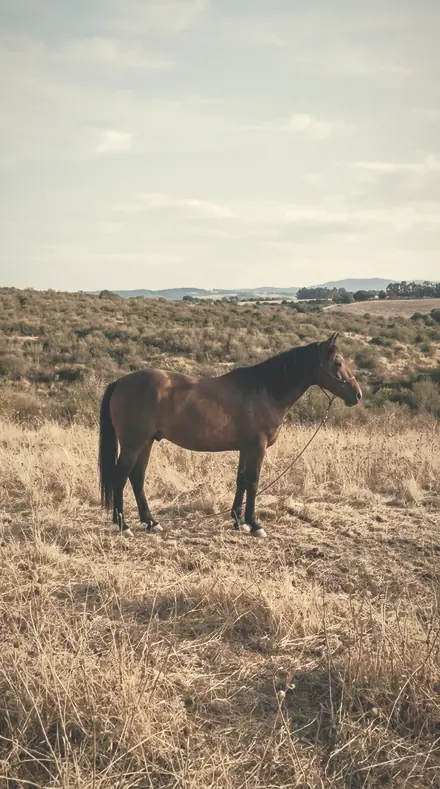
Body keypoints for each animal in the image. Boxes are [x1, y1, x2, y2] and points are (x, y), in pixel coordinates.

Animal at [98, 332, 362, 538]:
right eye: (338, 362)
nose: (357, 395)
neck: (266, 390)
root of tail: (121, 382)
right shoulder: (257, 447)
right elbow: (253, 482)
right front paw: (255, 525)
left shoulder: (246, 448)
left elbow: (241, 480)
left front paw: (238, 521)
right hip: (133, 444)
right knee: (120, 478)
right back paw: (124, 525)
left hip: (146, 443)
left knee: (137, 478)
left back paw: (151, 522)